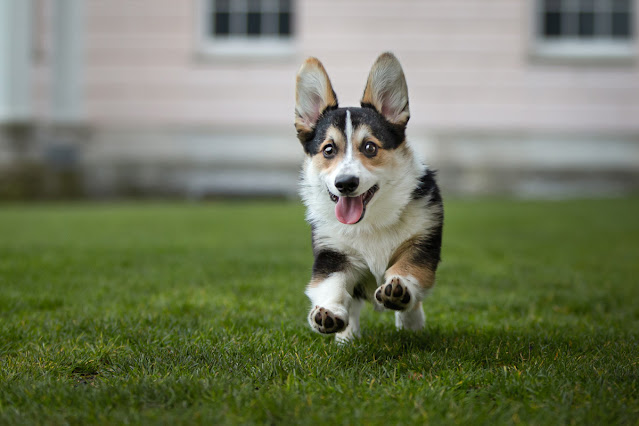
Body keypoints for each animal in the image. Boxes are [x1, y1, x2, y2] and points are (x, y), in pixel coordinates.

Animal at [296, 52, 442, 342]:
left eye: (370, 147)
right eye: (328, 150)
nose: (345, 184)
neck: (370, 221)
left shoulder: (422, 242)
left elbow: (407, 268)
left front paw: (399, 291)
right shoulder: (332, 254)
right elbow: (331, 286)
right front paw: (328, 314)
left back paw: (411, 326)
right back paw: (346, 337)